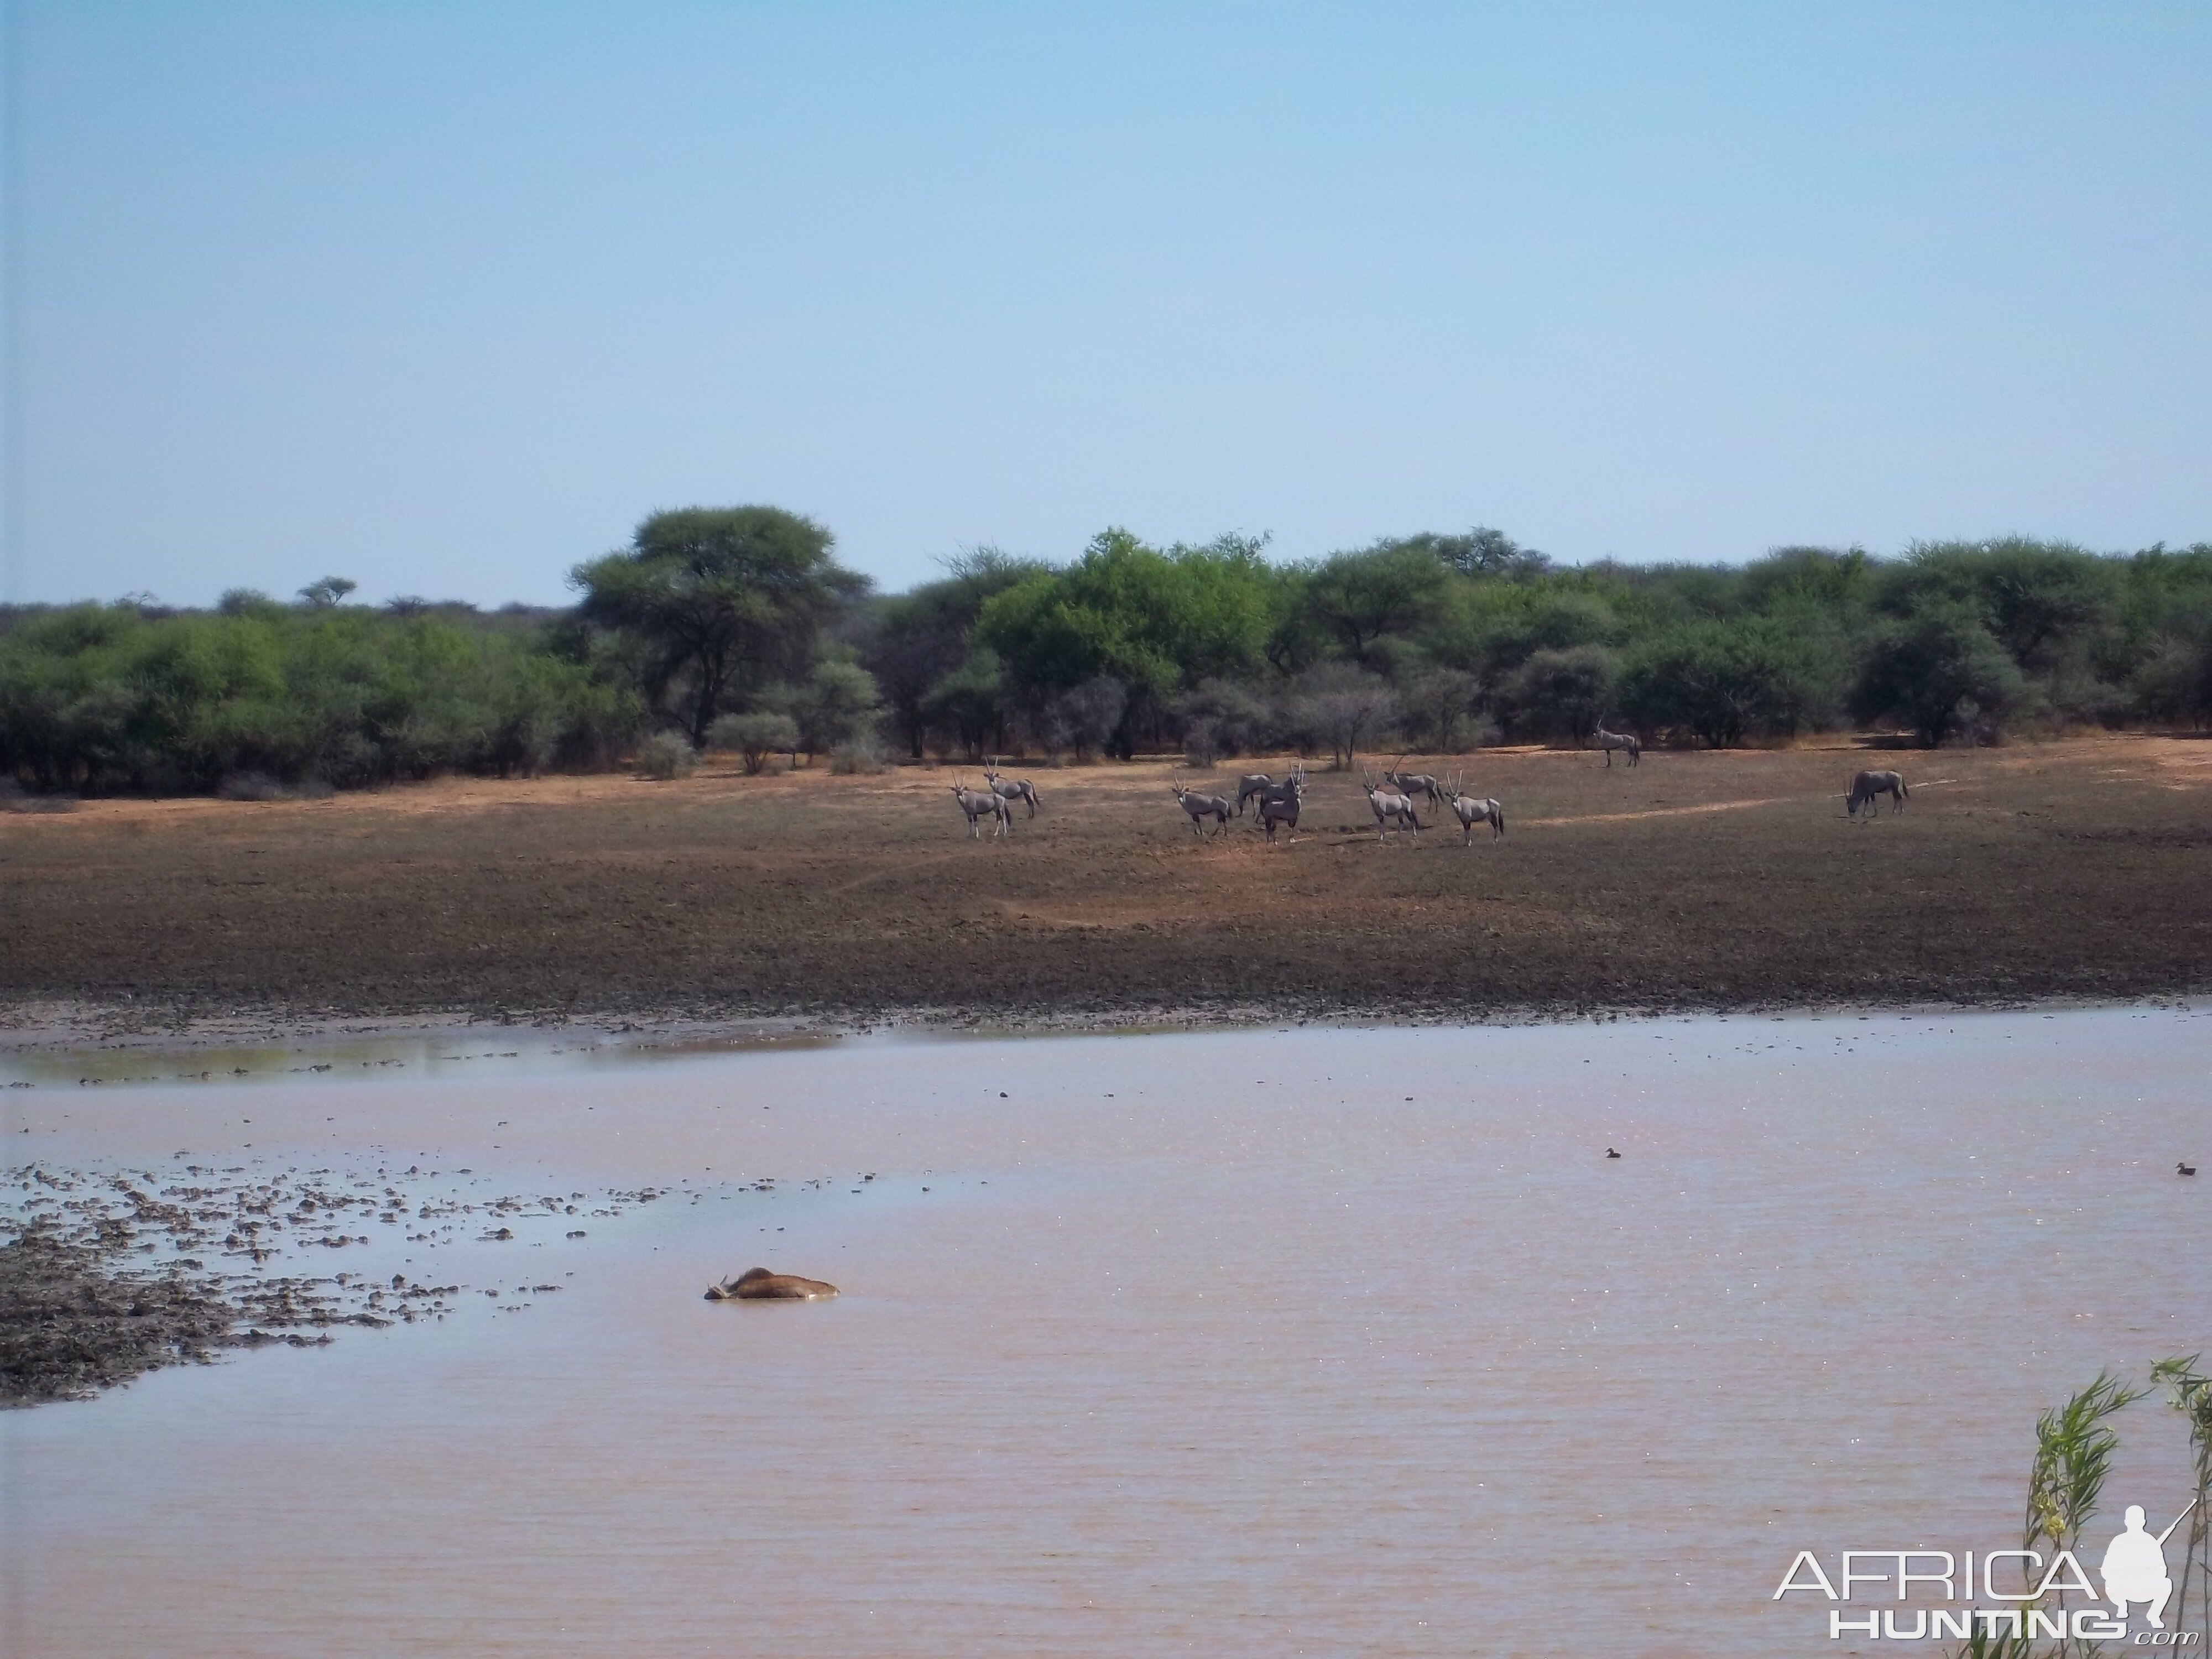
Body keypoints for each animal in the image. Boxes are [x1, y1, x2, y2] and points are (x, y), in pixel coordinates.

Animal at [1168, 787, 1239, 836]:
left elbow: (1197, 822)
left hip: (1221, 813)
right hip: (1219, 813)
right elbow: (1194, 821)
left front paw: (1200, 833)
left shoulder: (1195, 814)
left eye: (1183, 793)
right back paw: (1216, 834)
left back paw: (1223, 834)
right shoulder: (1194, 814)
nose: (1180, 799)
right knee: (1221, 821)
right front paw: (1197, 832)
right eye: (1177, 793)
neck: (1187, 799)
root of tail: (1226, 802)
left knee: (1223, 821)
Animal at [1354, 770, 1425, 845]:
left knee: (1412, 822)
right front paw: (1381, 837)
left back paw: (1414, 835)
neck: (1377, 798)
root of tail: (1408, 800)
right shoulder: (1378, 815)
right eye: (1368, 790)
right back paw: (1397, 836)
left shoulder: (1382, 815)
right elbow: (1380, 826)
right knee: (1402, 824)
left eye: (1373, 790)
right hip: (1400, 813)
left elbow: (1382, 826)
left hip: (1407, 812)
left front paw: (1381, 838)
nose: (1371, 797)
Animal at [1442, 770, 1513, 836]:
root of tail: (1499, 804)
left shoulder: (1468, 821)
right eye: (1451, 797)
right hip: (1491, 818)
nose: (1454, 805)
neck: (1461, 805)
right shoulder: (1464, 822)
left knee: (1497, 827)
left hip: (1494, 817)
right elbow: (1466, 833)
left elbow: (1468, 833)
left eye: (1457, 797)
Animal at [1840, 765, 1911, 818]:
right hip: (1894, 790)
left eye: (1850, 805)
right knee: (1896, 798)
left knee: (1900, 797)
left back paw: (1901, 812)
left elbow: (1872, 802)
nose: (1850, 814)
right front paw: (1864, 814)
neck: (1862, 781)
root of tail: (1899, 774)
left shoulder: (1871, 793)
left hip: (1896, 789)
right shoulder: (1868, 794)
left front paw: (1874, 813)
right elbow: (1867, 803)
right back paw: (1894, 811)